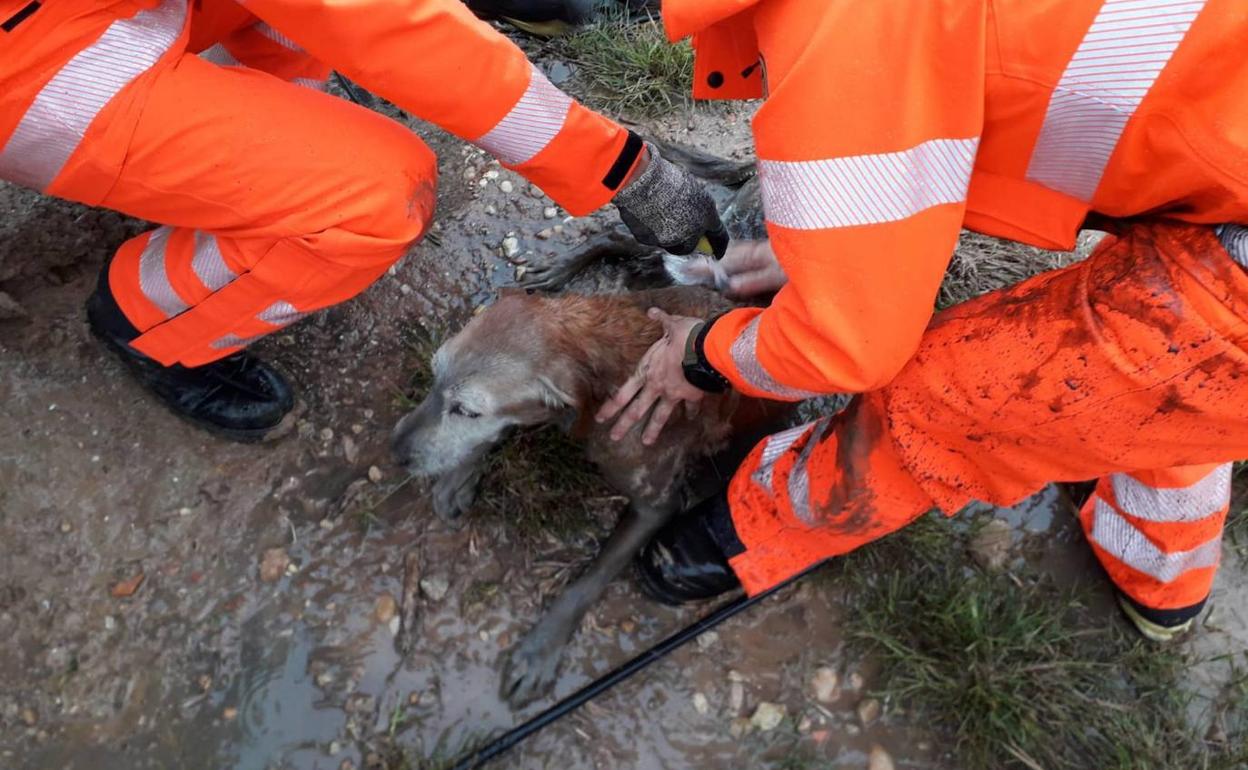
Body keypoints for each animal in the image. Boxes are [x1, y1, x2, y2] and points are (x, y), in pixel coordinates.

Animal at [389, 285, 788, 703]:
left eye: (466, 410)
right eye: (434, 376)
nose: (395, 450)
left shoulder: (656, 505)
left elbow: (587, 582)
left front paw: (540, 649)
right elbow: (501, 431)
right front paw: (460, 475)